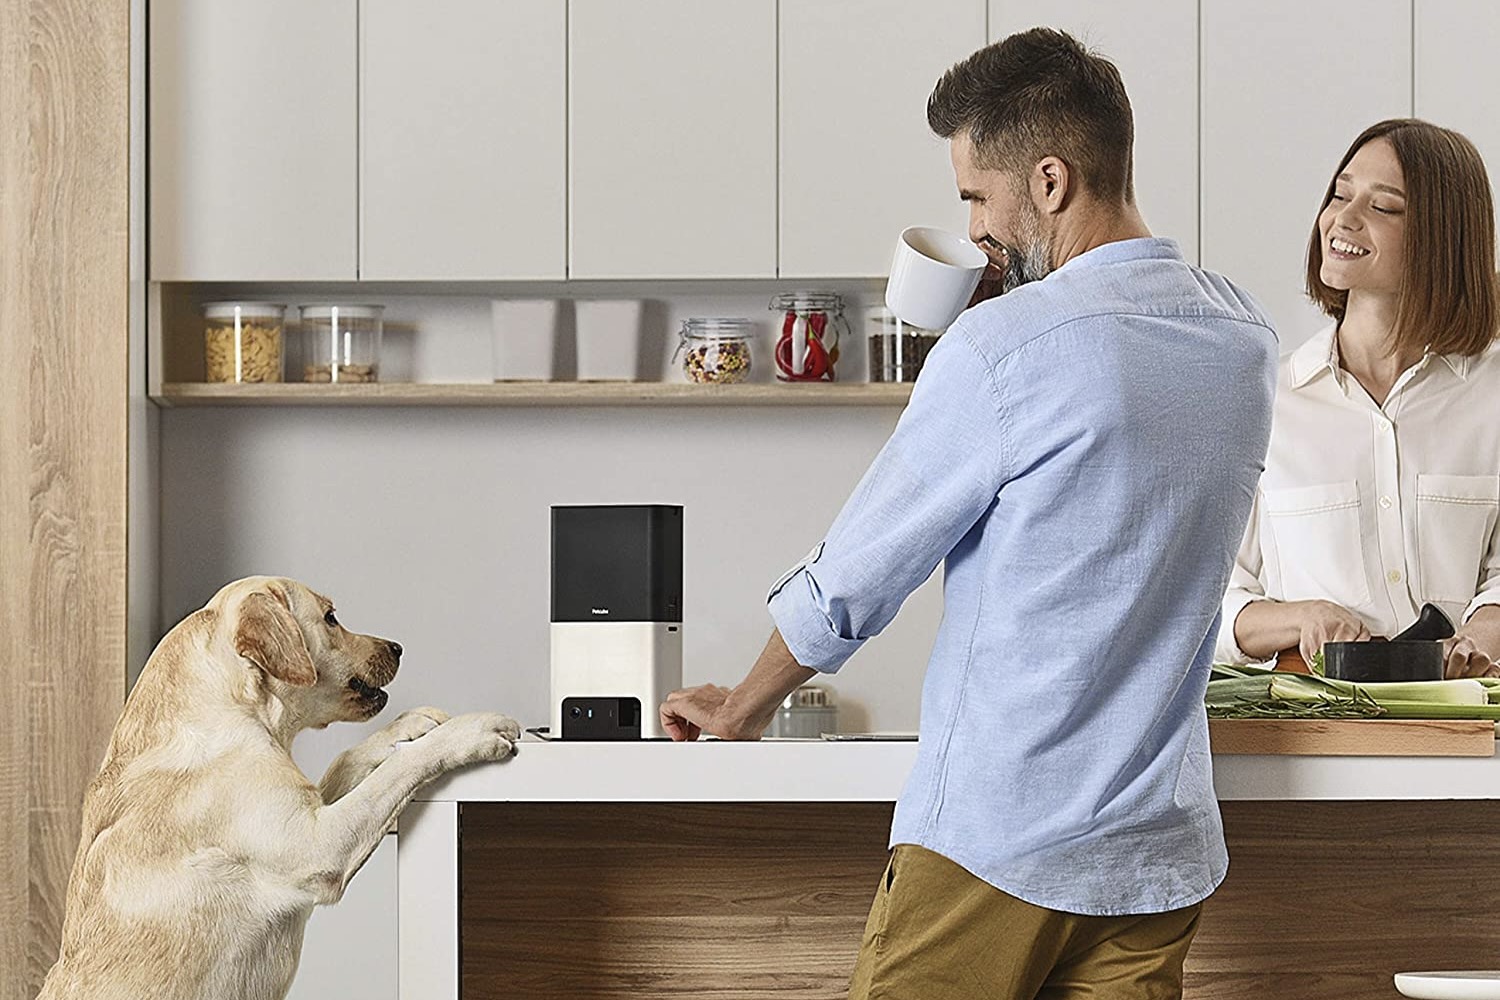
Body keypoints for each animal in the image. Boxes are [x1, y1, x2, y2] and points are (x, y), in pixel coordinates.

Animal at [38, 578, 519, 1000]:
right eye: (331, 618)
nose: (398, 647)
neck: (235, 707)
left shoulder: (311, 807)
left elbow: (351, 759)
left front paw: (411, 724)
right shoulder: (319, 847)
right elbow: (400, 767)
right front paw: (471, 730)